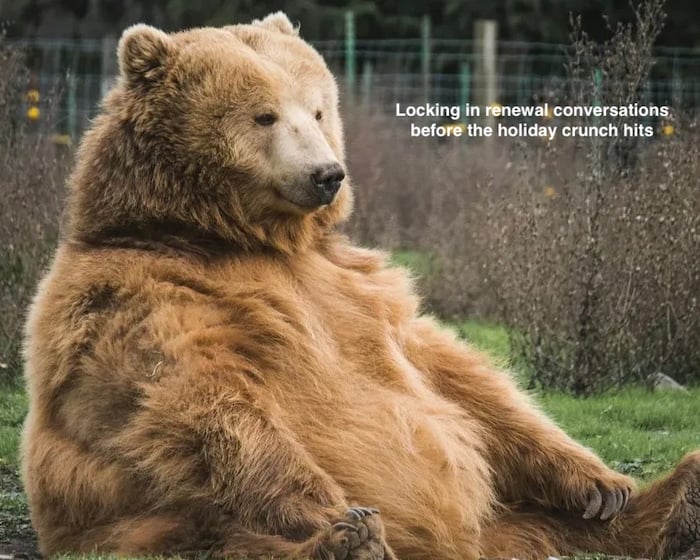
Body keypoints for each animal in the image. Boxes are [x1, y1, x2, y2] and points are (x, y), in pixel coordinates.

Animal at [21, 11, 699, 560]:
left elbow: (456, 374)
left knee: (555, 526)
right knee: (220, 536)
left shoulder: (356, 286)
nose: (328, 173)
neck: (237, 237)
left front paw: (601, 483)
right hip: (142, 523)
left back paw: (676, 501)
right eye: (264, 115)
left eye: (318, 108)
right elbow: (201, 400)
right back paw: (347, 542)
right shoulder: (139, 295)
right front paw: (336, 513)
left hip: (508, 520)